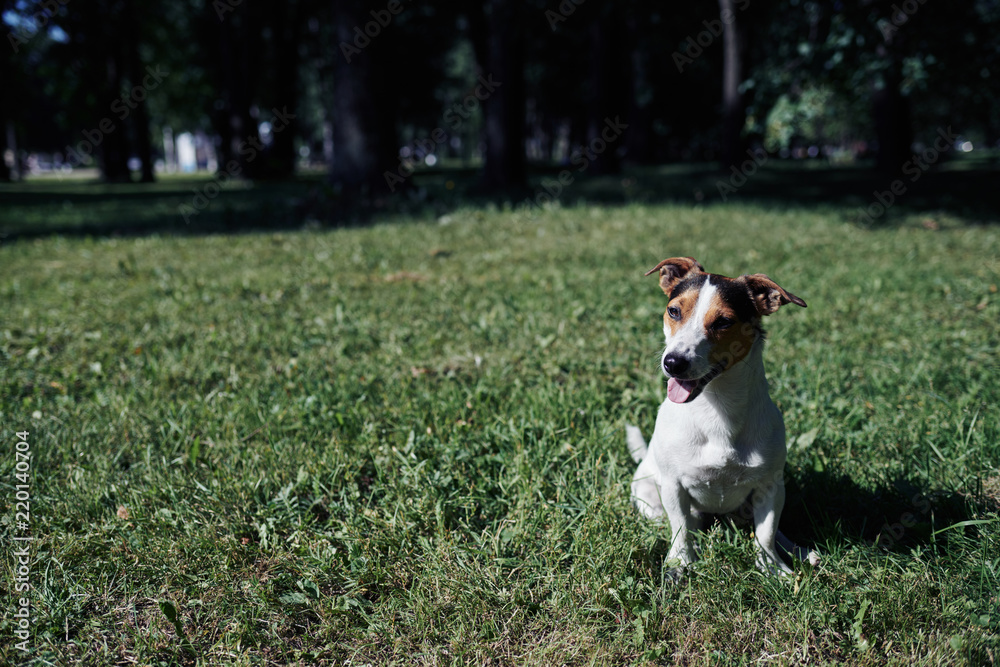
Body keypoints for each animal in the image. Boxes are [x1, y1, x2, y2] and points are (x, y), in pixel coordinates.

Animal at [628, 258, 816, 580]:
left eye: (723, 322)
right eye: (674, 311)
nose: (673, 362)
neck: (716, 408)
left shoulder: (770, 486)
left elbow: (766, 533)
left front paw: (772, 568)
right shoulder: (674, 486)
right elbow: (680, 530)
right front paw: (679, 563)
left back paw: (798, 550)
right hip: (649, 495)